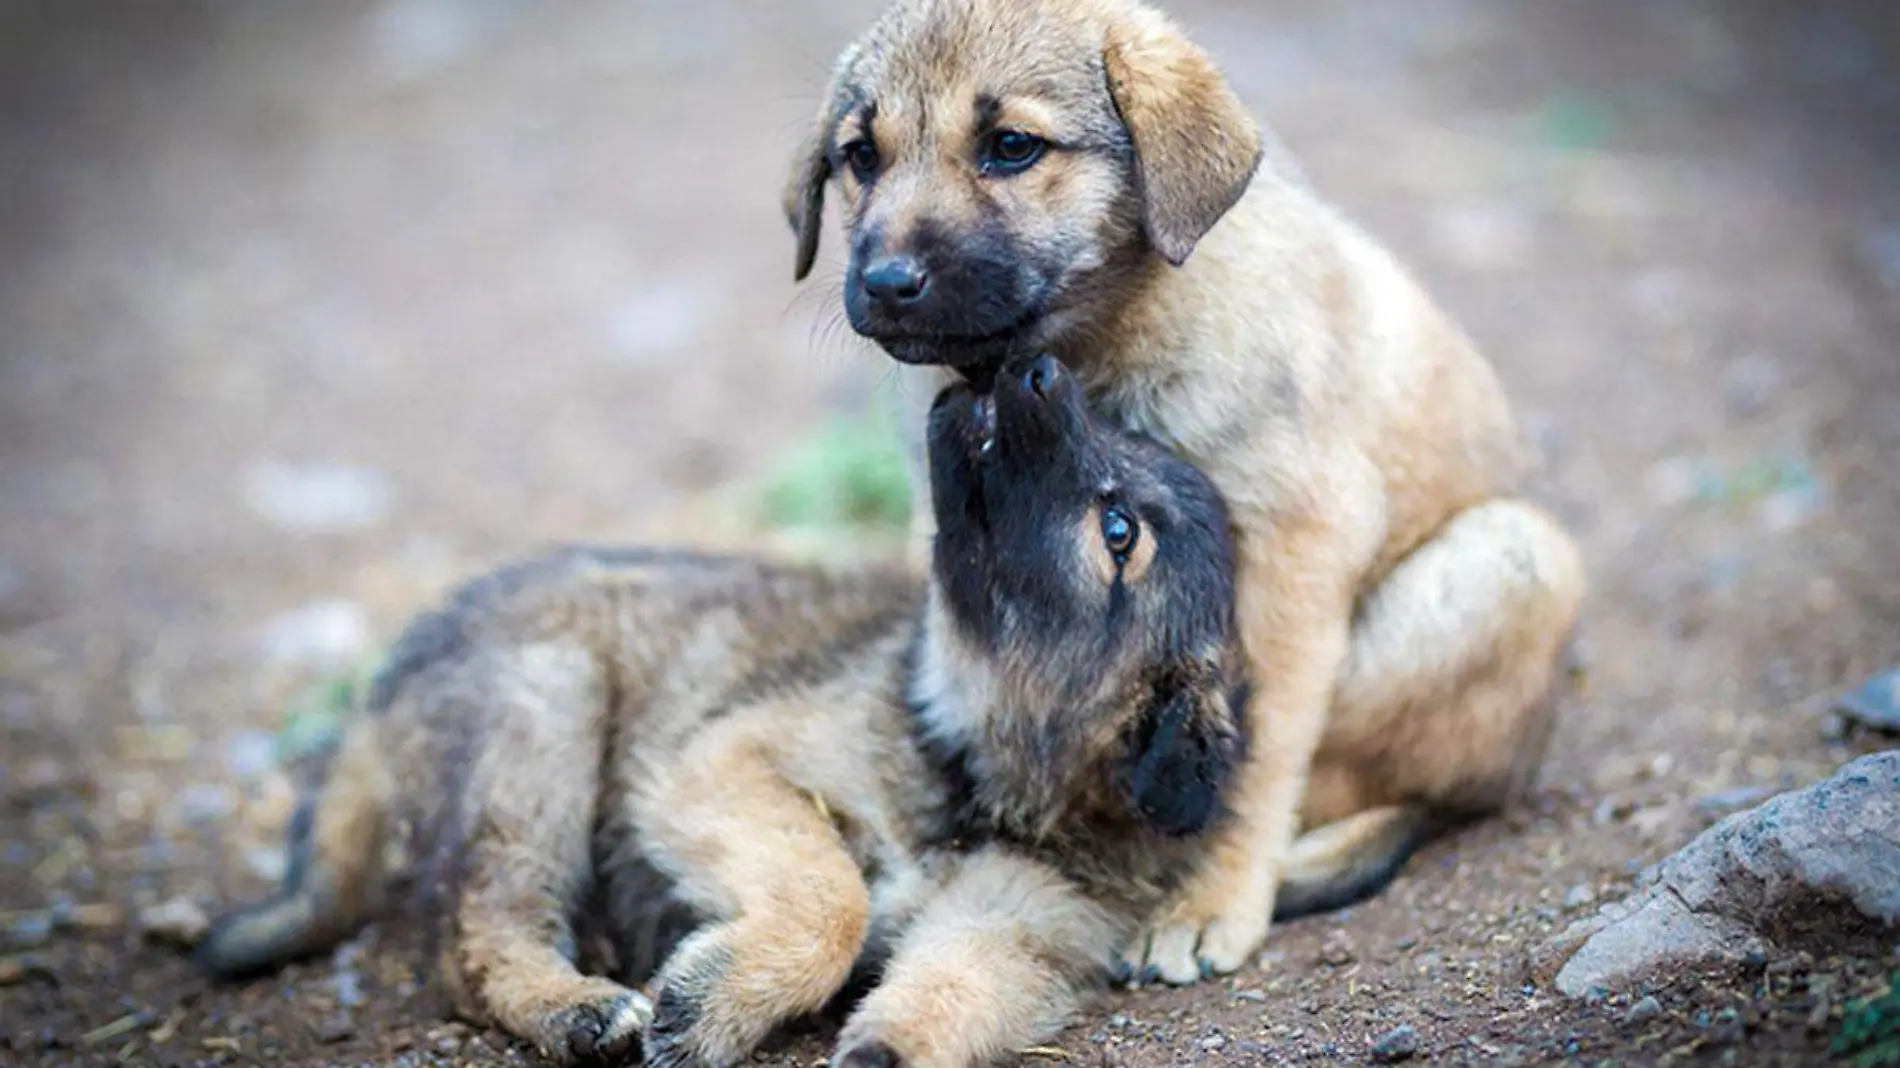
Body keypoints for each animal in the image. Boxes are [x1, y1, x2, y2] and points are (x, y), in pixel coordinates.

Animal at [786, 0, 1588, 980]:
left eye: (1012, 147)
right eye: (860, 156)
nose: (887, 284)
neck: (1103, 338)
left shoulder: (1296, 549)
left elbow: (1255, 756)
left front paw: (1210, 902)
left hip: (1513, 562)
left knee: (1408, 789)